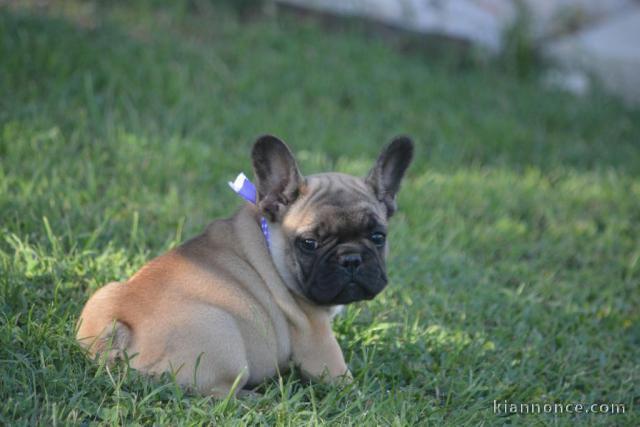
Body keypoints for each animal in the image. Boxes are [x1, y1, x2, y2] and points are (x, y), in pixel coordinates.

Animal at [76, 135, 416, 396]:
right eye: (309, 243)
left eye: (378, 237)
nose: (351, 258)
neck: (271, 243)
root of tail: (121, 329)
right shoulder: (318, 342)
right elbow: (347, 383)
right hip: (222, 333)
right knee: (217, 395)